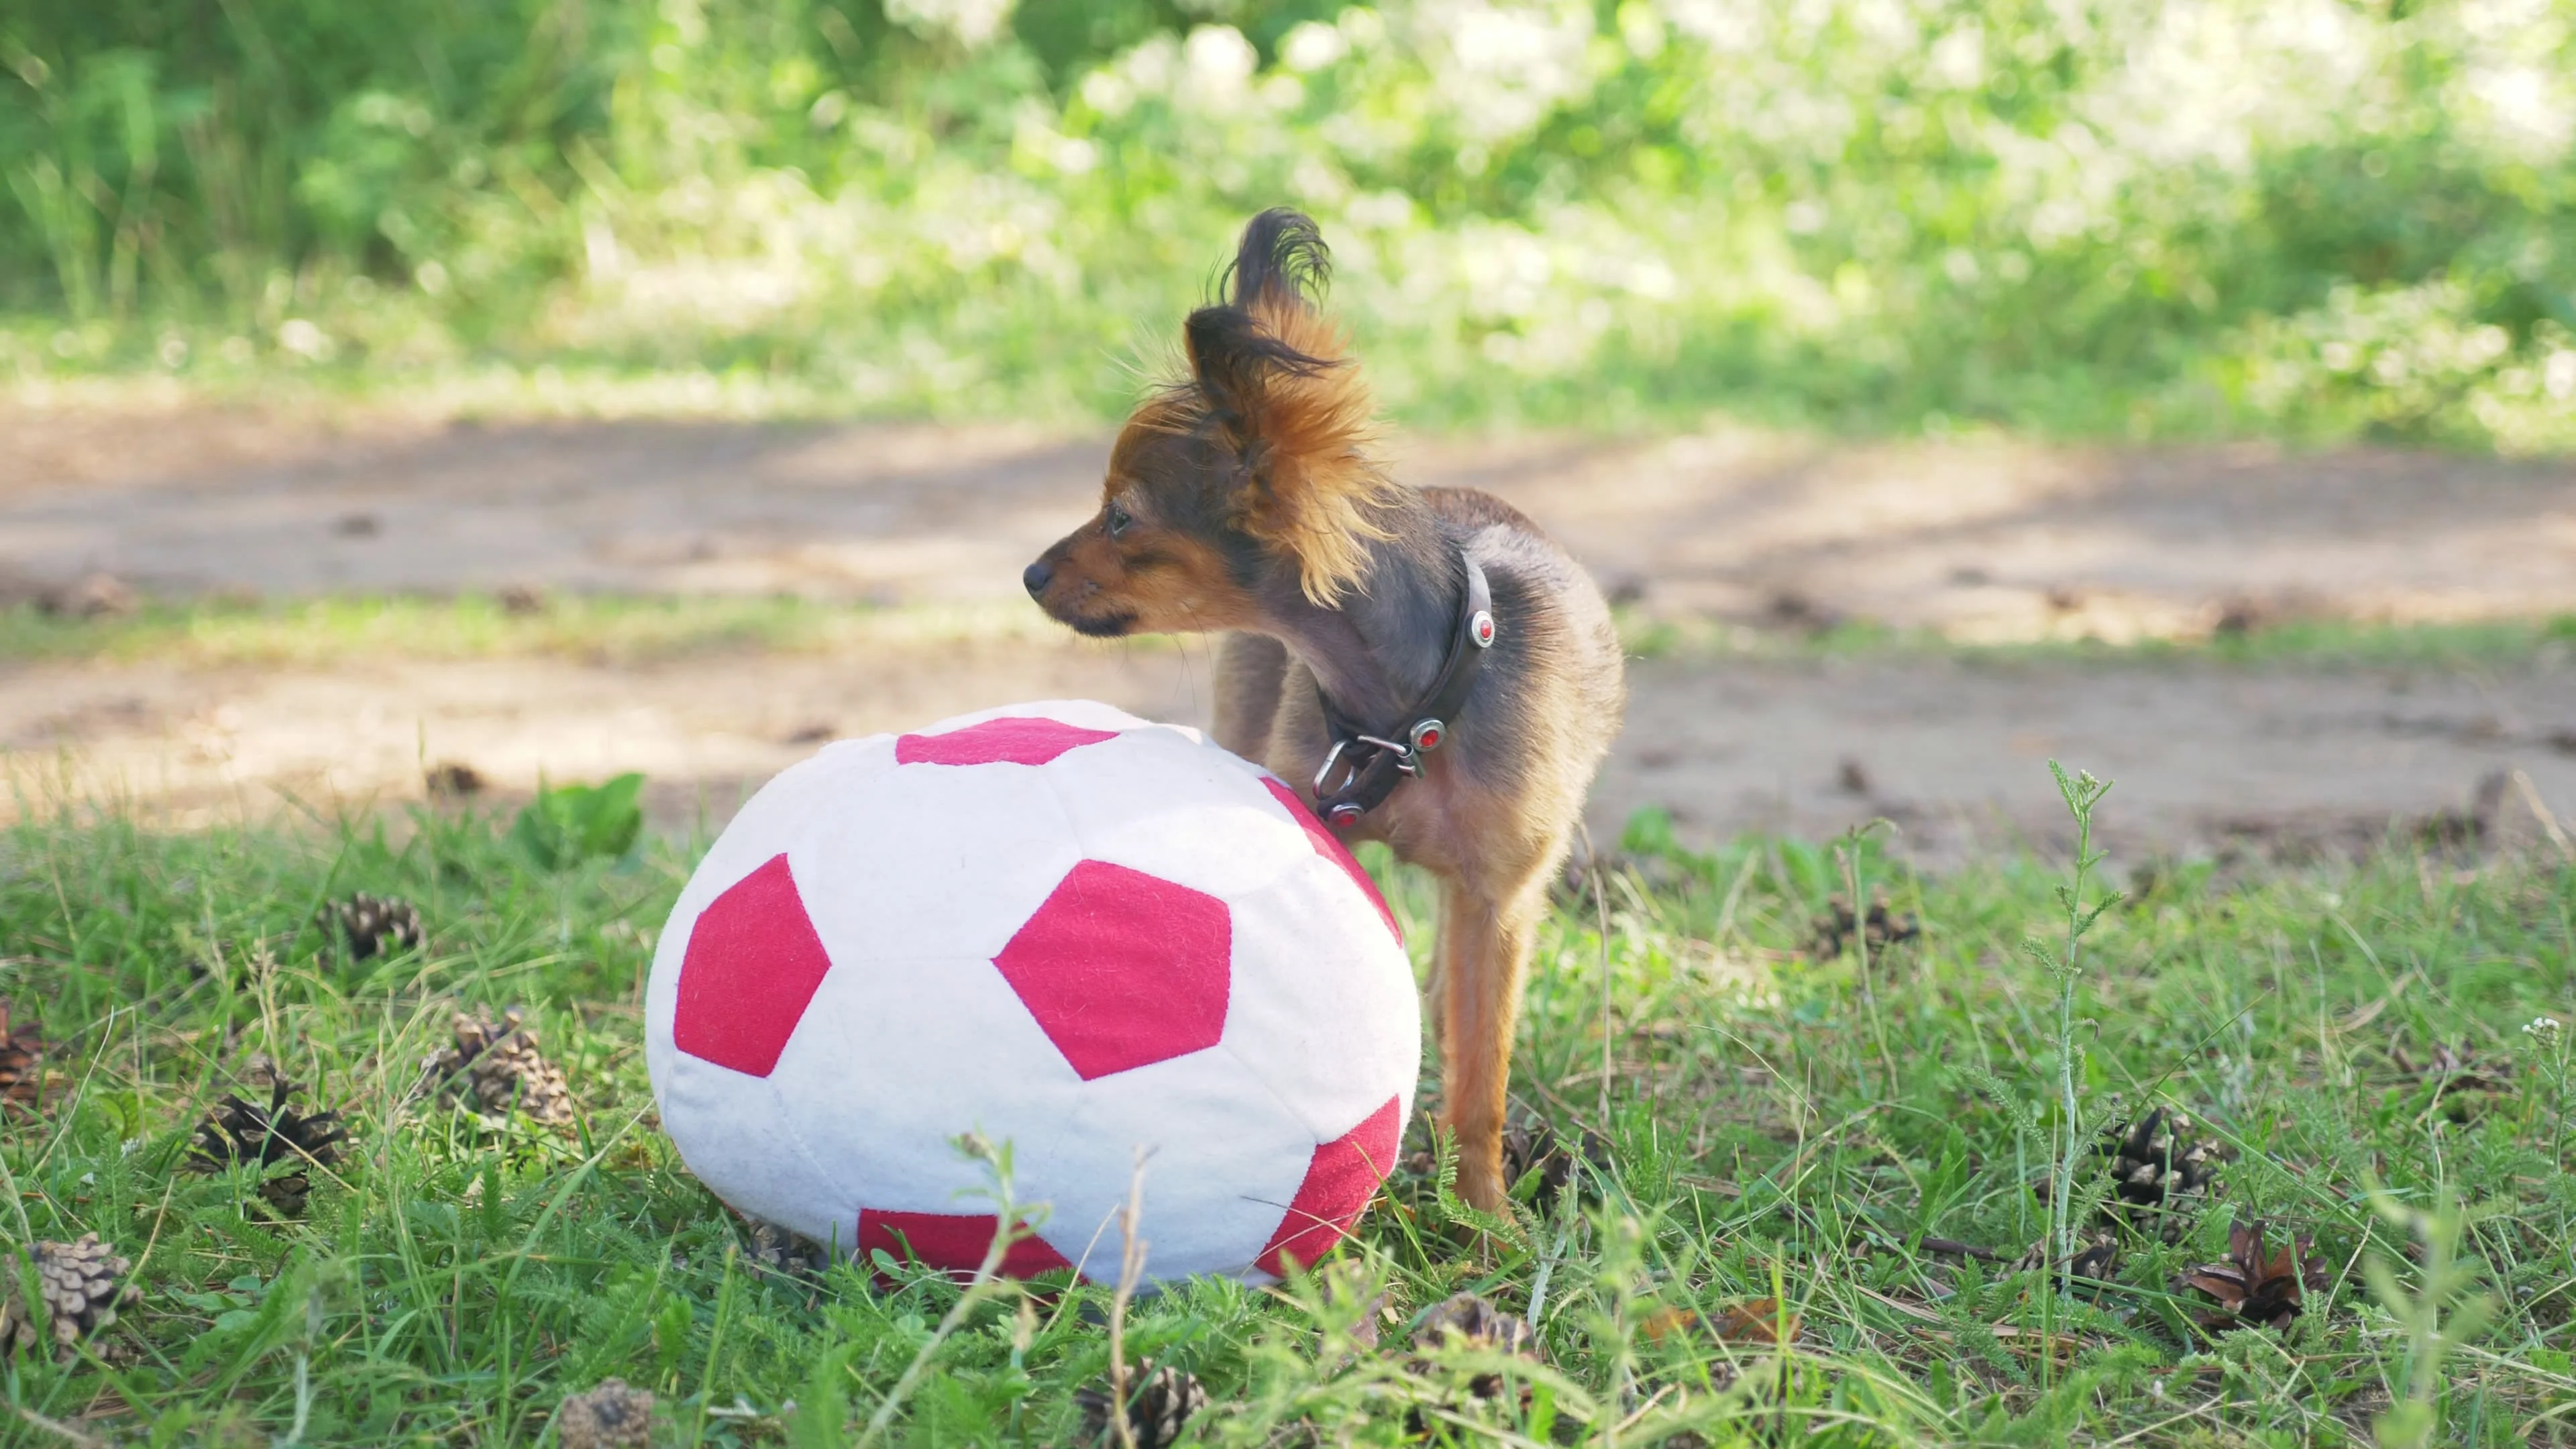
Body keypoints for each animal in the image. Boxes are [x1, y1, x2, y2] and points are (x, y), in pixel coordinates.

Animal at [1025, 209, 1627, 1212]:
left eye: (1122, 519)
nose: (1030, 574)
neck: (1414, 713)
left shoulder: (1499, 902)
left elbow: (1482, 1078)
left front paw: (1486, 1217)